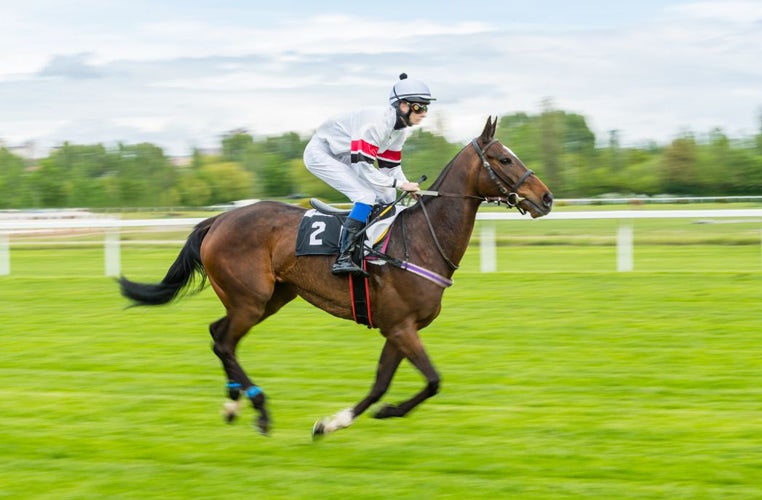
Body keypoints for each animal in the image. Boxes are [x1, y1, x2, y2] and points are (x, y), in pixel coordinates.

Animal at [118, 117, 553, 438]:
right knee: (224, 341)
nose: (547, 198)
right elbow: (432, 380)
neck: (420, 240)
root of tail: (218, 220)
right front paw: (378, 413)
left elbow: (383, 383)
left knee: (217, 334)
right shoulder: (401, 326)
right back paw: (259, 408)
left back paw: (232, 402)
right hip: (250, 300)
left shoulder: (399, 326)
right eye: (504, 159)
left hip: (270, 298)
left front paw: (333, 422)